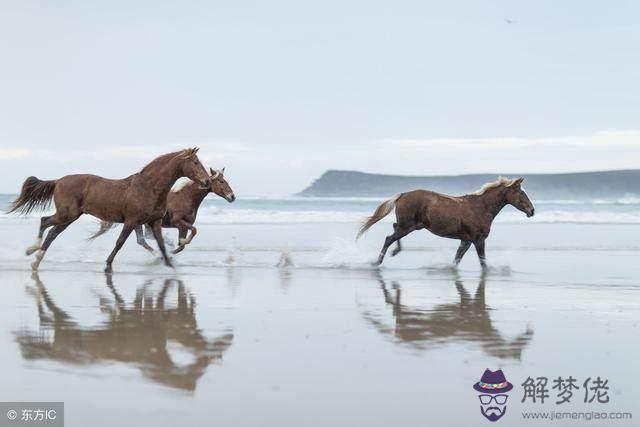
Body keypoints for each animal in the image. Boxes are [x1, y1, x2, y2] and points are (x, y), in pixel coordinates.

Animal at [7, 149, 211, 272]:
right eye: (195, 162)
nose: (207, 181)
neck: (149, 187)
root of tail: (58, 181)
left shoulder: (154, 222)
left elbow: (160, 245)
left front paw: (169, 264)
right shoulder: (131, 221)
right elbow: (120, 243)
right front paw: (107, 266)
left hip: (70, 217)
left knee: (52, 232)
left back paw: (36, 258)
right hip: (67, 214)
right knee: (45, 222)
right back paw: (32, 251)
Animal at [86, 167, 234, 254]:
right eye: (221, 181)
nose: (232, 196)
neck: (186, 197)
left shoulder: (183, 226)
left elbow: (183, 243)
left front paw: (173, 249)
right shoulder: (177, 221)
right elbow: (192, 233)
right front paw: (171, 251)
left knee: (143, 239)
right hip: (137, 223)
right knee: (142, 240)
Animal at [358, 177, 532, 268]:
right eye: (521, 193)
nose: (532, 211)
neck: (481, 207)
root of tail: (403, 194)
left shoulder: (466, 240)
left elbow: (457, 259)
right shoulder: (478, 240)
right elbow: (483, 262)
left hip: (410, 226)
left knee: (393, 230)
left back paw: (394, 252)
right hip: (407, 226)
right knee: (389, 238)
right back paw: (378, 262)